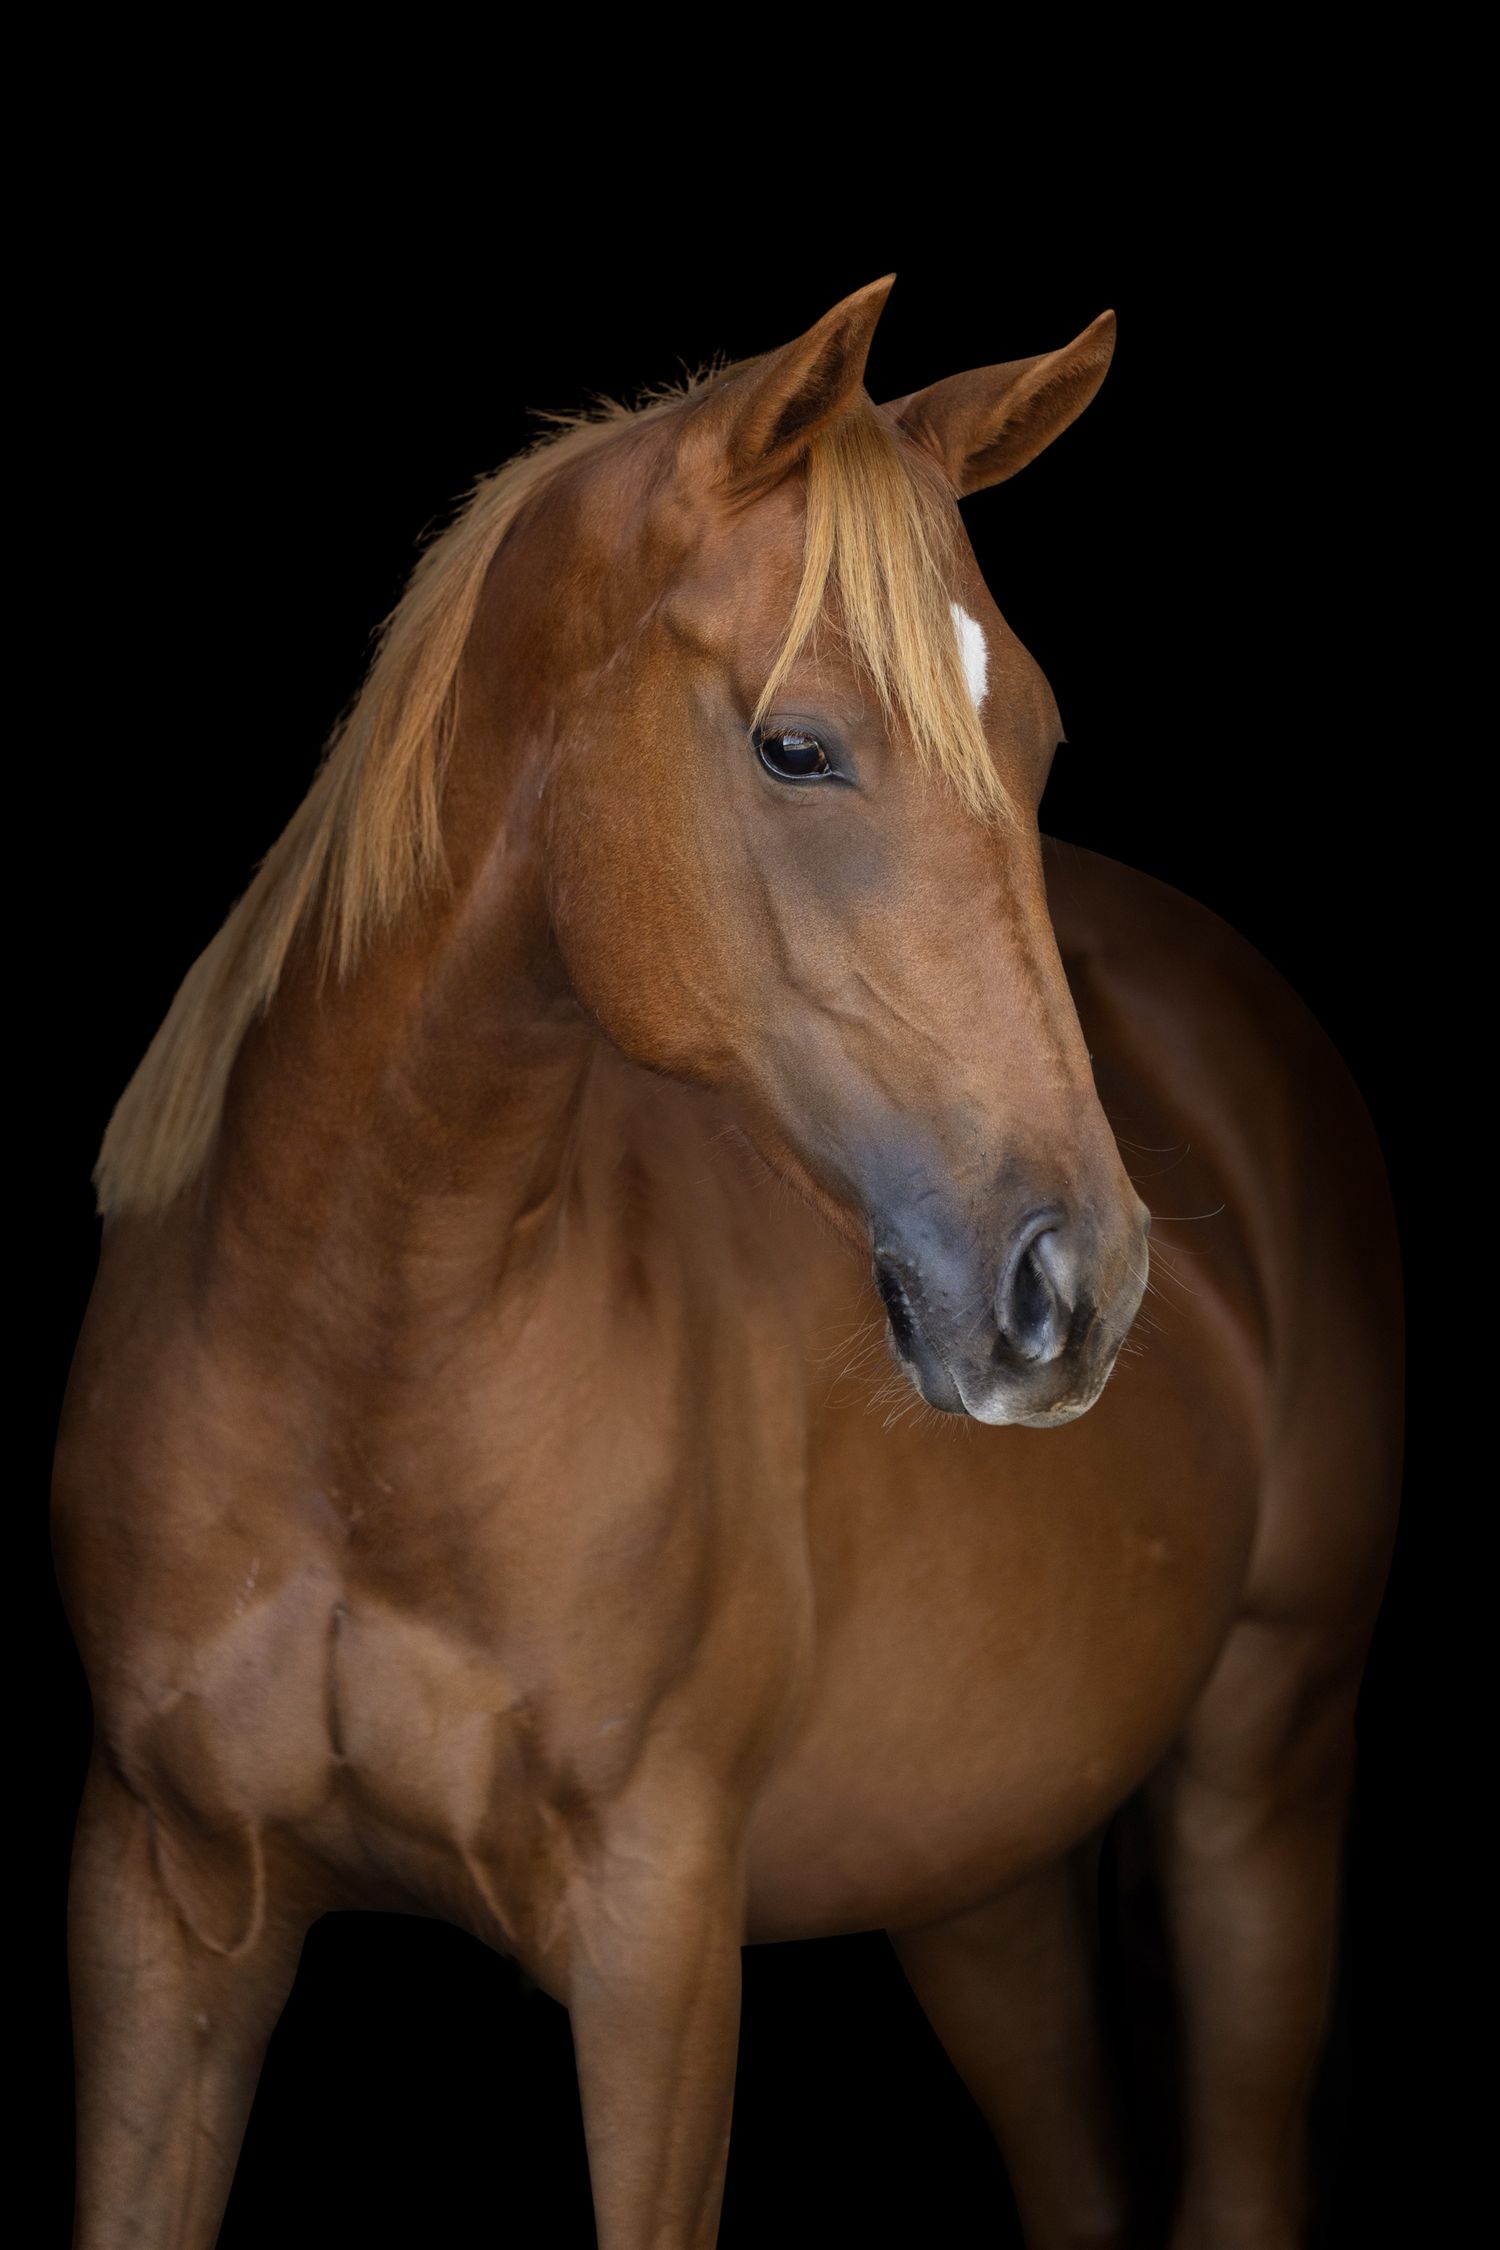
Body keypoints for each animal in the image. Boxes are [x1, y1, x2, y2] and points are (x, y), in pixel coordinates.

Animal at [54, 275, 1402, 2249]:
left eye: (1037, 746)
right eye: (796, 745)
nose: (1076, 1286)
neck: (358, 1365)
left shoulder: (660, 1944)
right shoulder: (159, 1905)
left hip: (1263, 1778)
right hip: (976, 1869)